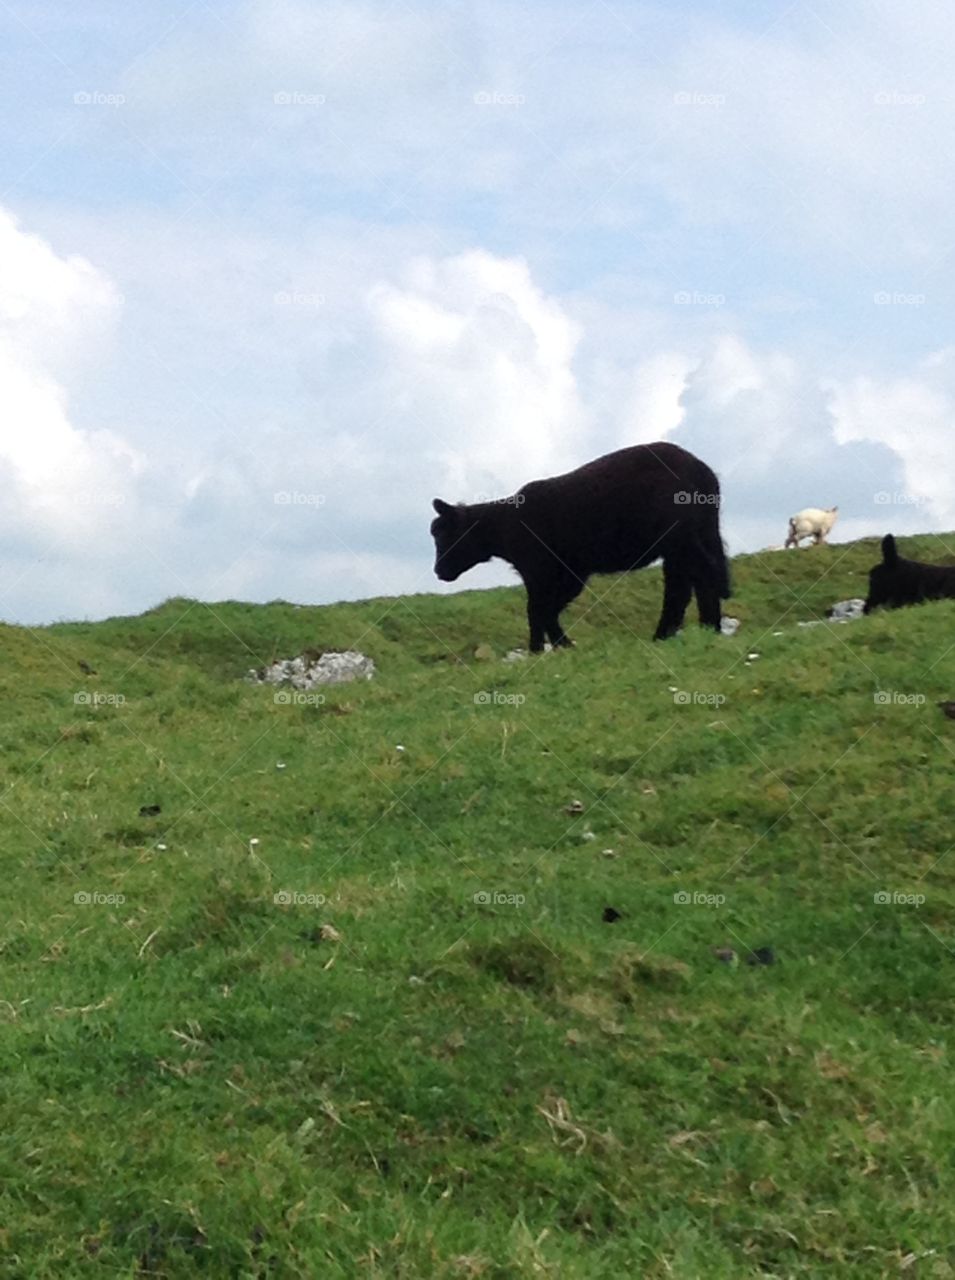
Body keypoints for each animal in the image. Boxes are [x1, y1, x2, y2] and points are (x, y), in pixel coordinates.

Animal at [427, 445, 727, 655]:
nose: (439, 571)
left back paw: (707, 628)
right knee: (684, 582)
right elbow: (548, 608)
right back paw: (679, 632)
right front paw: (560, 645)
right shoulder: (571, 572)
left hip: (679, 534)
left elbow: (536, 608)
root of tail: (703, 473)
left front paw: (539, 649)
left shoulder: (538, 568)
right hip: (693, 534)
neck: (503, 527)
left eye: (445, 534)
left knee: (701, 572)